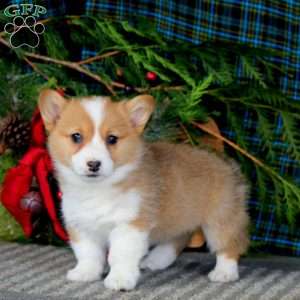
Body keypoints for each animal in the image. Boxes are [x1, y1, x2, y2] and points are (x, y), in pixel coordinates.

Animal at [38, 89, 248, 290]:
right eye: (76, 136)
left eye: (112, 139)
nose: (94, 164)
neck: (97, 189)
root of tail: (226, 163)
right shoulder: (81, 226)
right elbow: (88, 254)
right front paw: (85, 273)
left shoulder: (129, 225)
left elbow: (120, 255)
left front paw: (120, 280)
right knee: (178, 238)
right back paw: (156, 260)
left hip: (220, 219)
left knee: (229, 245)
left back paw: (224, 272)